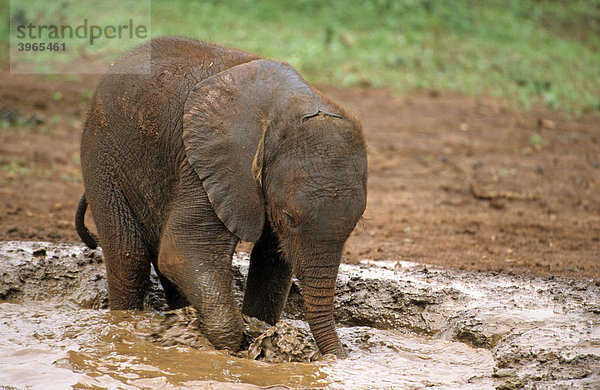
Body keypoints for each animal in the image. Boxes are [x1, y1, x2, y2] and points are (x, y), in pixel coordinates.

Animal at [77, 37, 368, 356]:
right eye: (289, 219)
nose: (338, 359)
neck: (291, 107)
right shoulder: (207, 164)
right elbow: (184, 249)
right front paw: (226, 347)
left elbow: (271, 262)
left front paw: (260, 335)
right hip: (102, 158)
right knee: (129, 257)